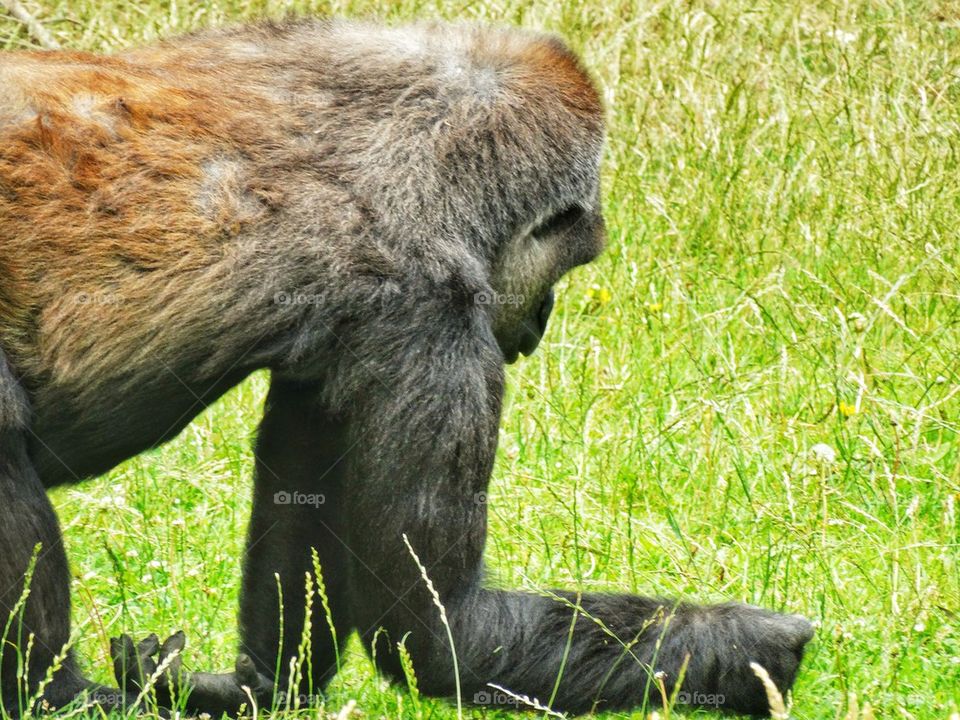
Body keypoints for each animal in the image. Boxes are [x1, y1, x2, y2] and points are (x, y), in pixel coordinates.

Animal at [0, 18, 814, 718]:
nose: (542, 320)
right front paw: (752, 649)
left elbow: (305, 493)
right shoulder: (434, 312)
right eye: (569, 258)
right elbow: (440, 631)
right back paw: (59, 696)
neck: (424, 136)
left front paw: (254, 686)